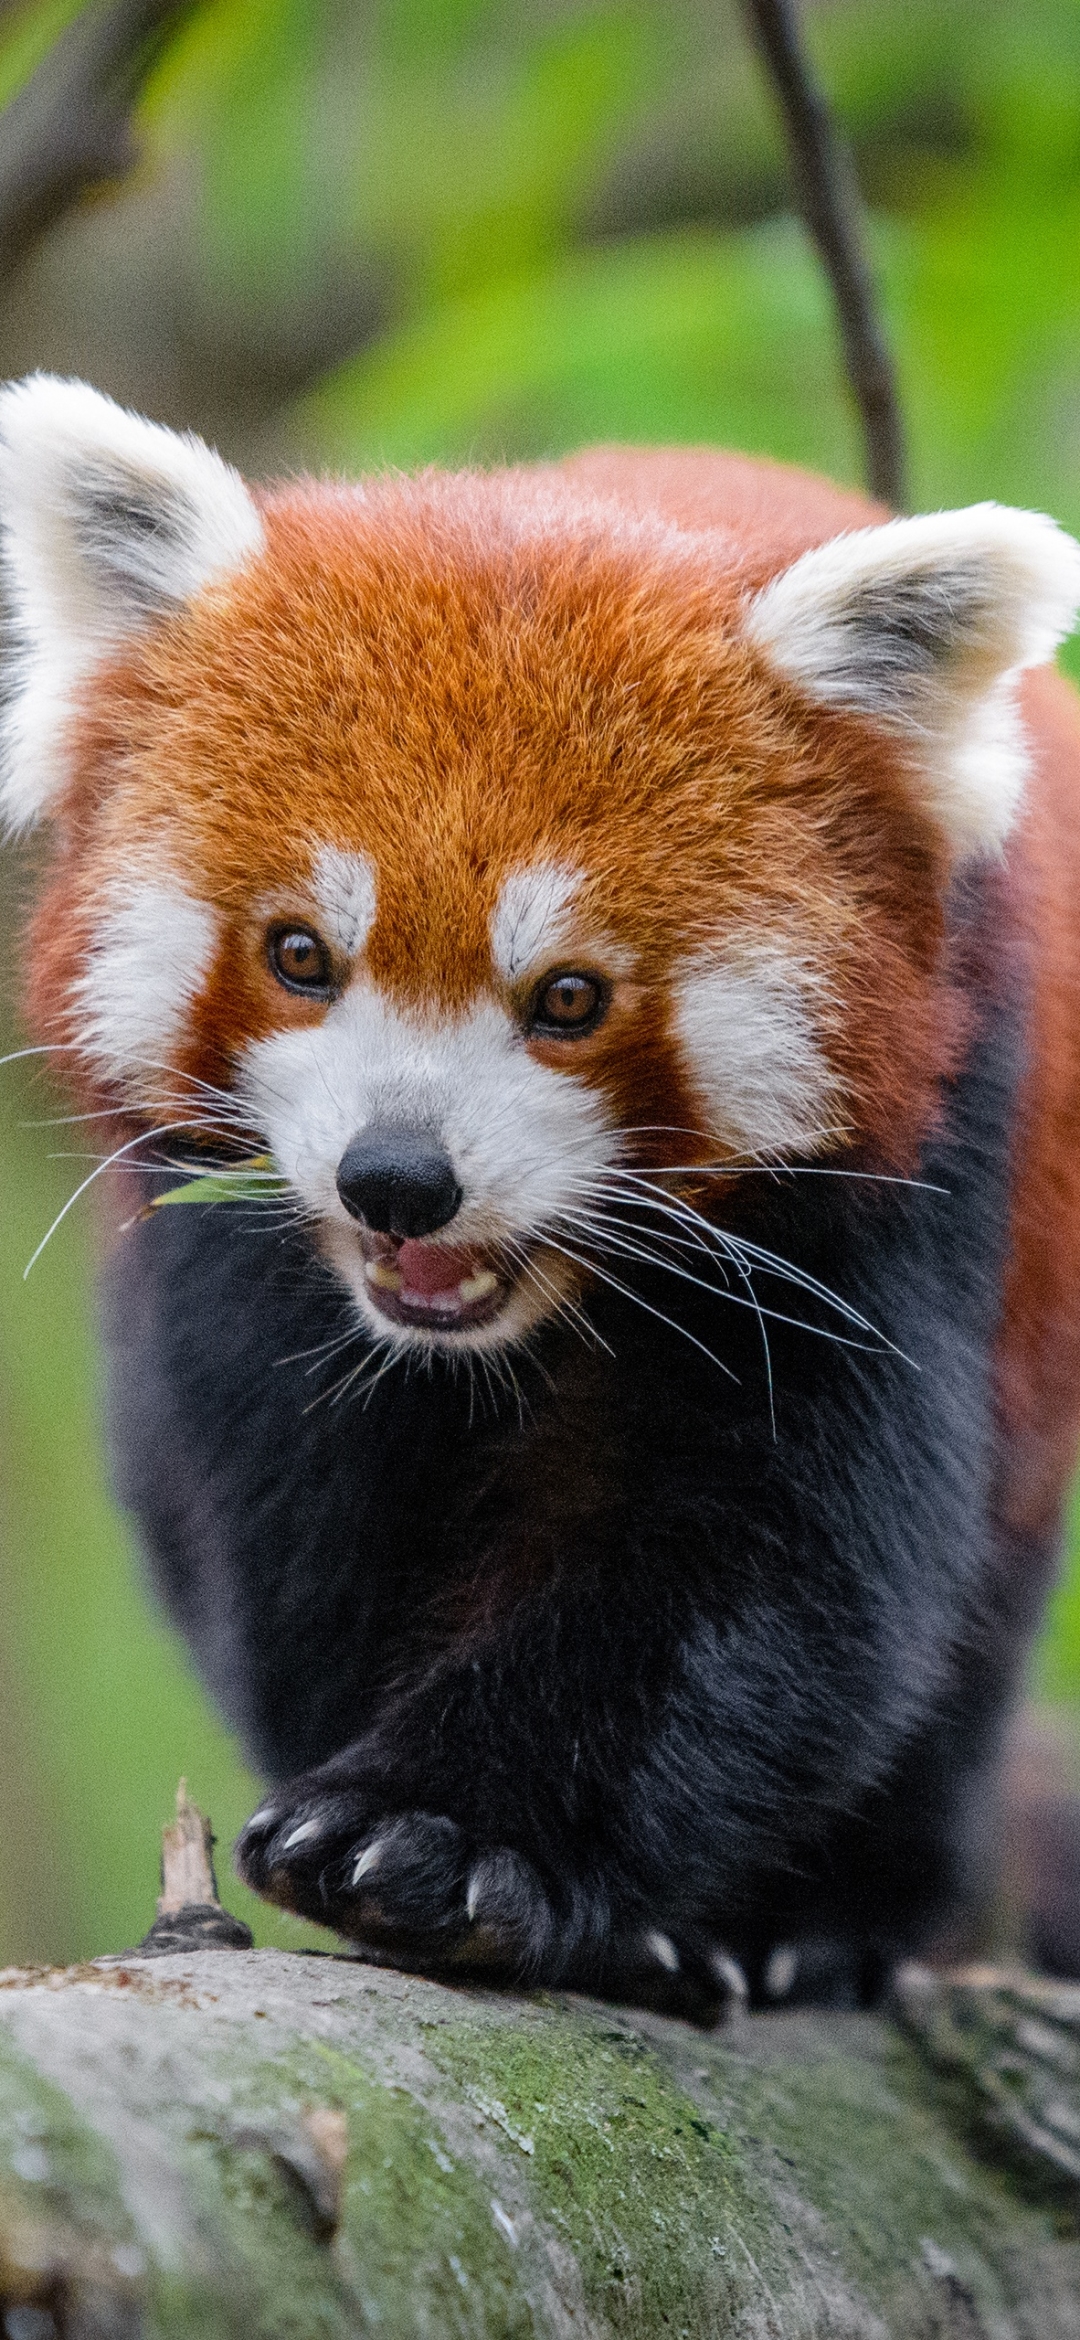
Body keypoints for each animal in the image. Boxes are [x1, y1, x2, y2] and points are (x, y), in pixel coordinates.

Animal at [2, 374, 1080, 2021]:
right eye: (302, 954)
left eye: (568, 997)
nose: (397, 1178)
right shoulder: (238, 1265)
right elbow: (303, 1530)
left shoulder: (916, 1159)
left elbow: (773, 1551)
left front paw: (448, 1837)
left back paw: (837, 1919)